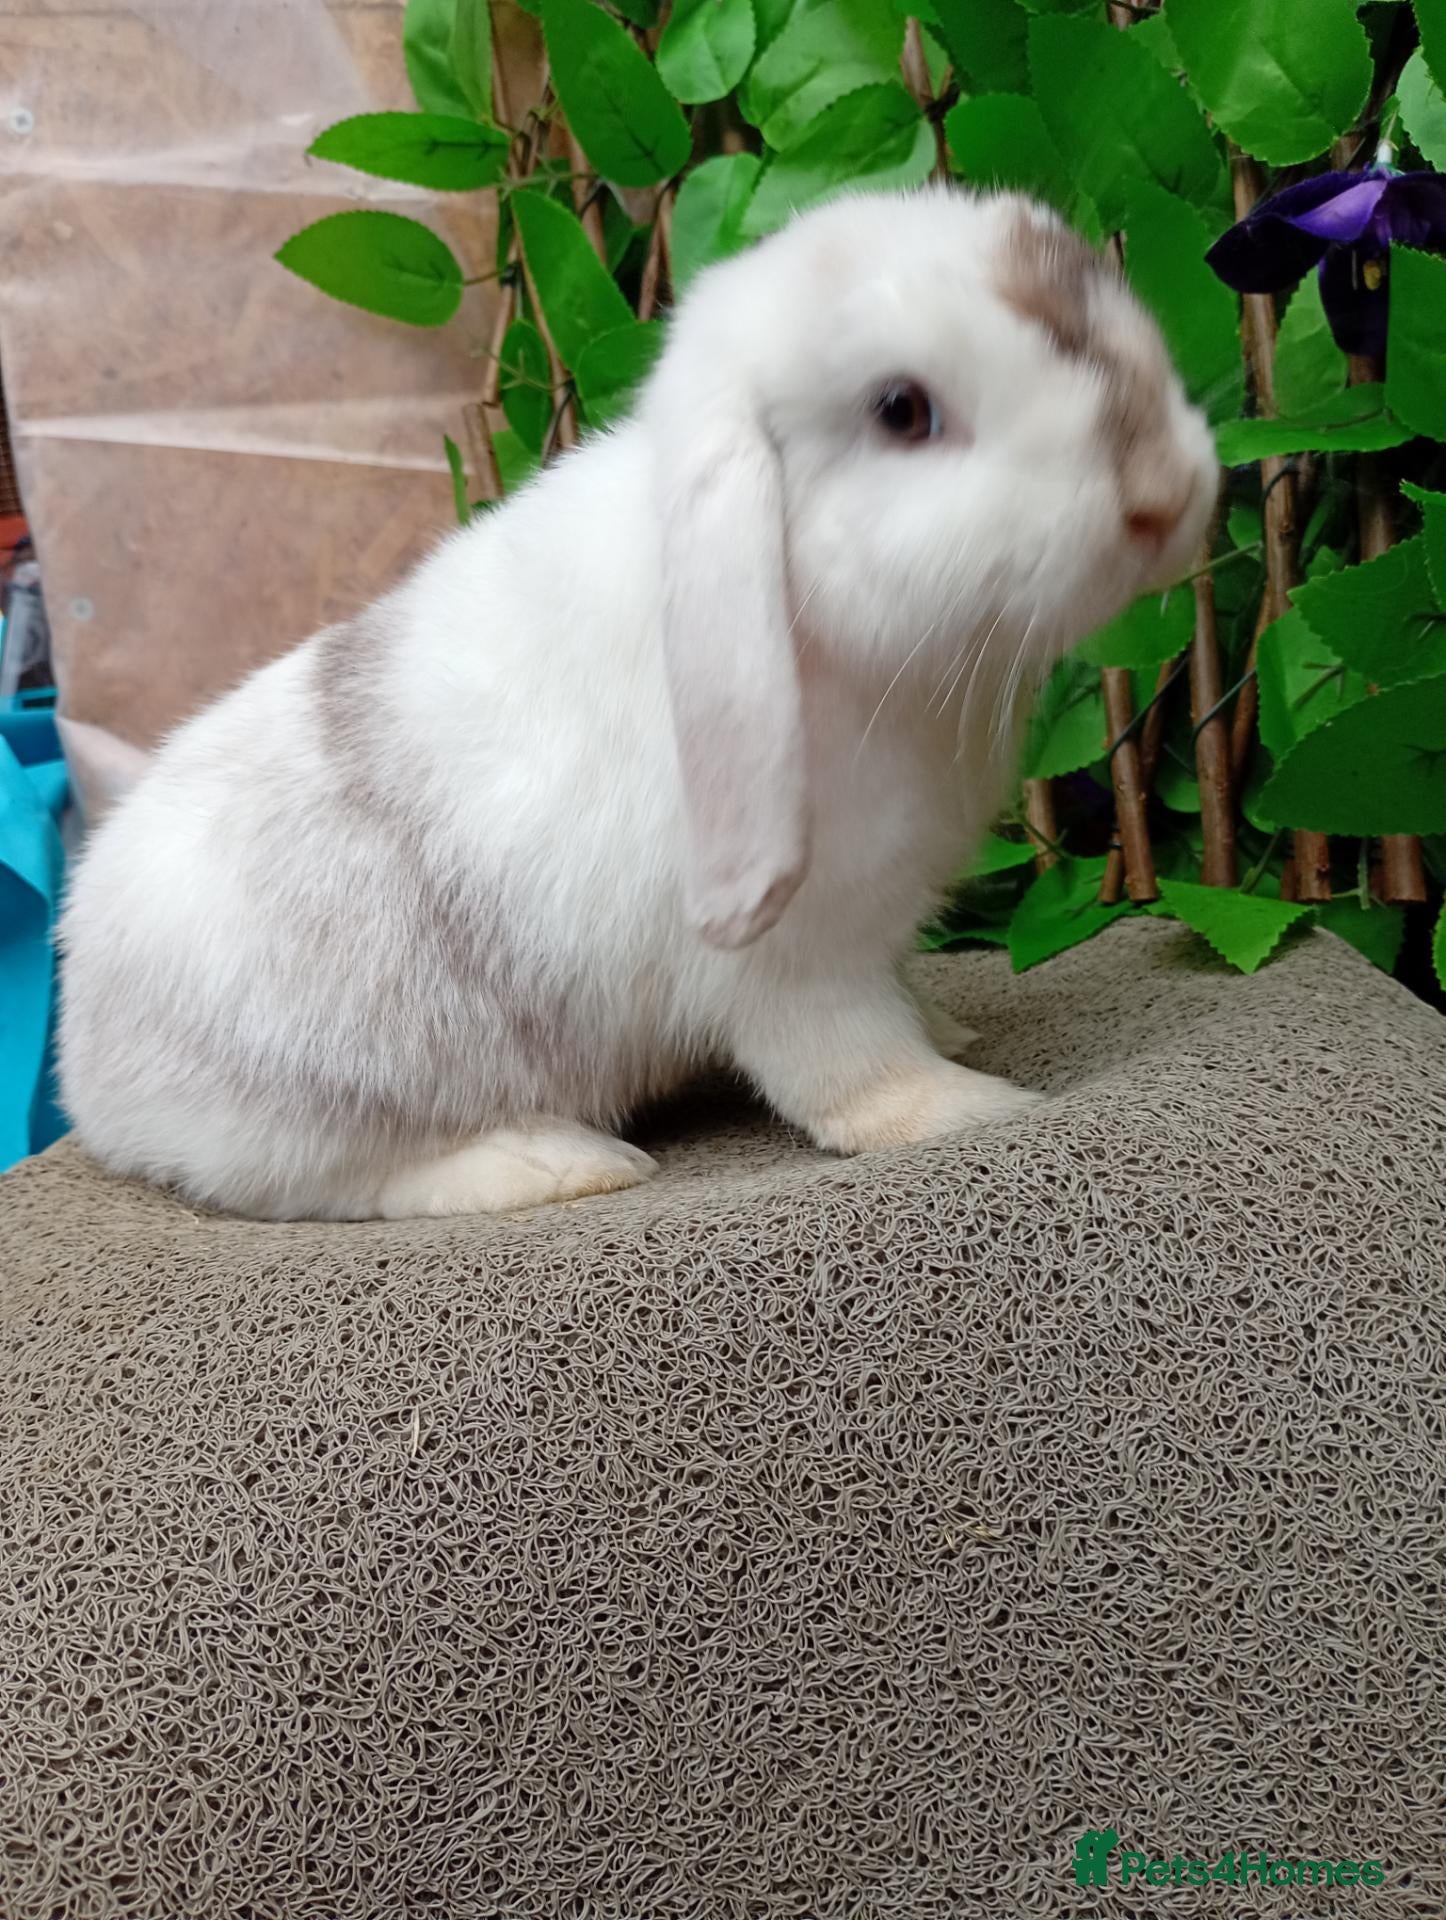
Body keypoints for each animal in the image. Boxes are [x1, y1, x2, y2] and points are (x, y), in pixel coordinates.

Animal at [57, 185, 1218, 1221]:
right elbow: (850, 1065)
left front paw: (953, 1033)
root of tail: (83, 1046)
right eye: (902, 410)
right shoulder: (802, 962)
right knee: (342, 1182)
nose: (1169, 493)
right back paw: (558, 1164)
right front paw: (968, 1105)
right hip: (315, 1105)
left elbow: (904, 1005)